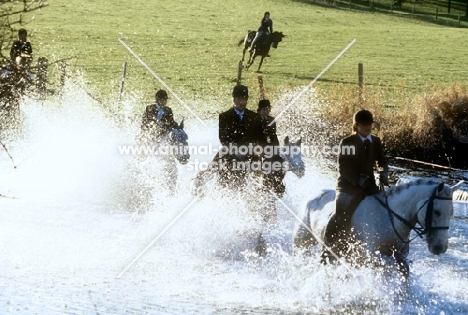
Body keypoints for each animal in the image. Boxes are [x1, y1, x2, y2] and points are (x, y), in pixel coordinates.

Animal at [292, 179, 454, 276]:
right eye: (437, 212)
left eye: (451, 213)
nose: (440, 247)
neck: (388, 220)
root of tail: (314, 195)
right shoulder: (368, 256)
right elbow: (386, 264)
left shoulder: (399, 256)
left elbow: (404, 270)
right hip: (302, 242)